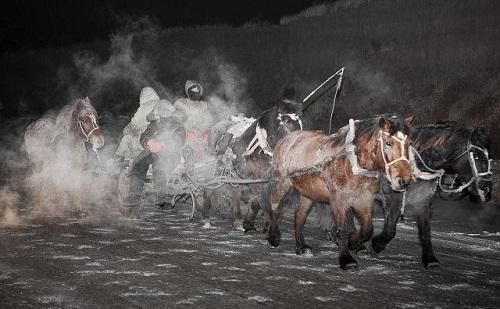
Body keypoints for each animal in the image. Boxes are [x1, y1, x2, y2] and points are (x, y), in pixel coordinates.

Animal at [200, 98, 302, 231]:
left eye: (300, 121)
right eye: (286, 120)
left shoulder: (266, 180)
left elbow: (257, 202)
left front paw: (251, 223)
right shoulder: (244, 176)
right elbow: (247, 197)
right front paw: (241, 221)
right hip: (217, 168)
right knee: (211, 187)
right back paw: (207, 218)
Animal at [272, 113, 412, 270]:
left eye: (409, 143)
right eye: (388, 143)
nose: (404, 180)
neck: (353, 162)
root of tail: (287, 139)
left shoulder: (364, 200)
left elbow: (367, 229)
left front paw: (355, 243)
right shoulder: (339, 200)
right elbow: (343, 229)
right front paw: (347, 259)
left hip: (309, 192)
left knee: (299, 216)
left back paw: (301, 247)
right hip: (282, 183)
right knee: (275, 206)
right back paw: (273, 237)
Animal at [372, 120, 492, 268]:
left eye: (489, 156)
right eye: (475, 155)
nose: (487, 190)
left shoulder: (423, 200)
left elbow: (425, 230)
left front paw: (430, 259)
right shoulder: (391, 199)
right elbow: (389, 231)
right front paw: (375, 245)